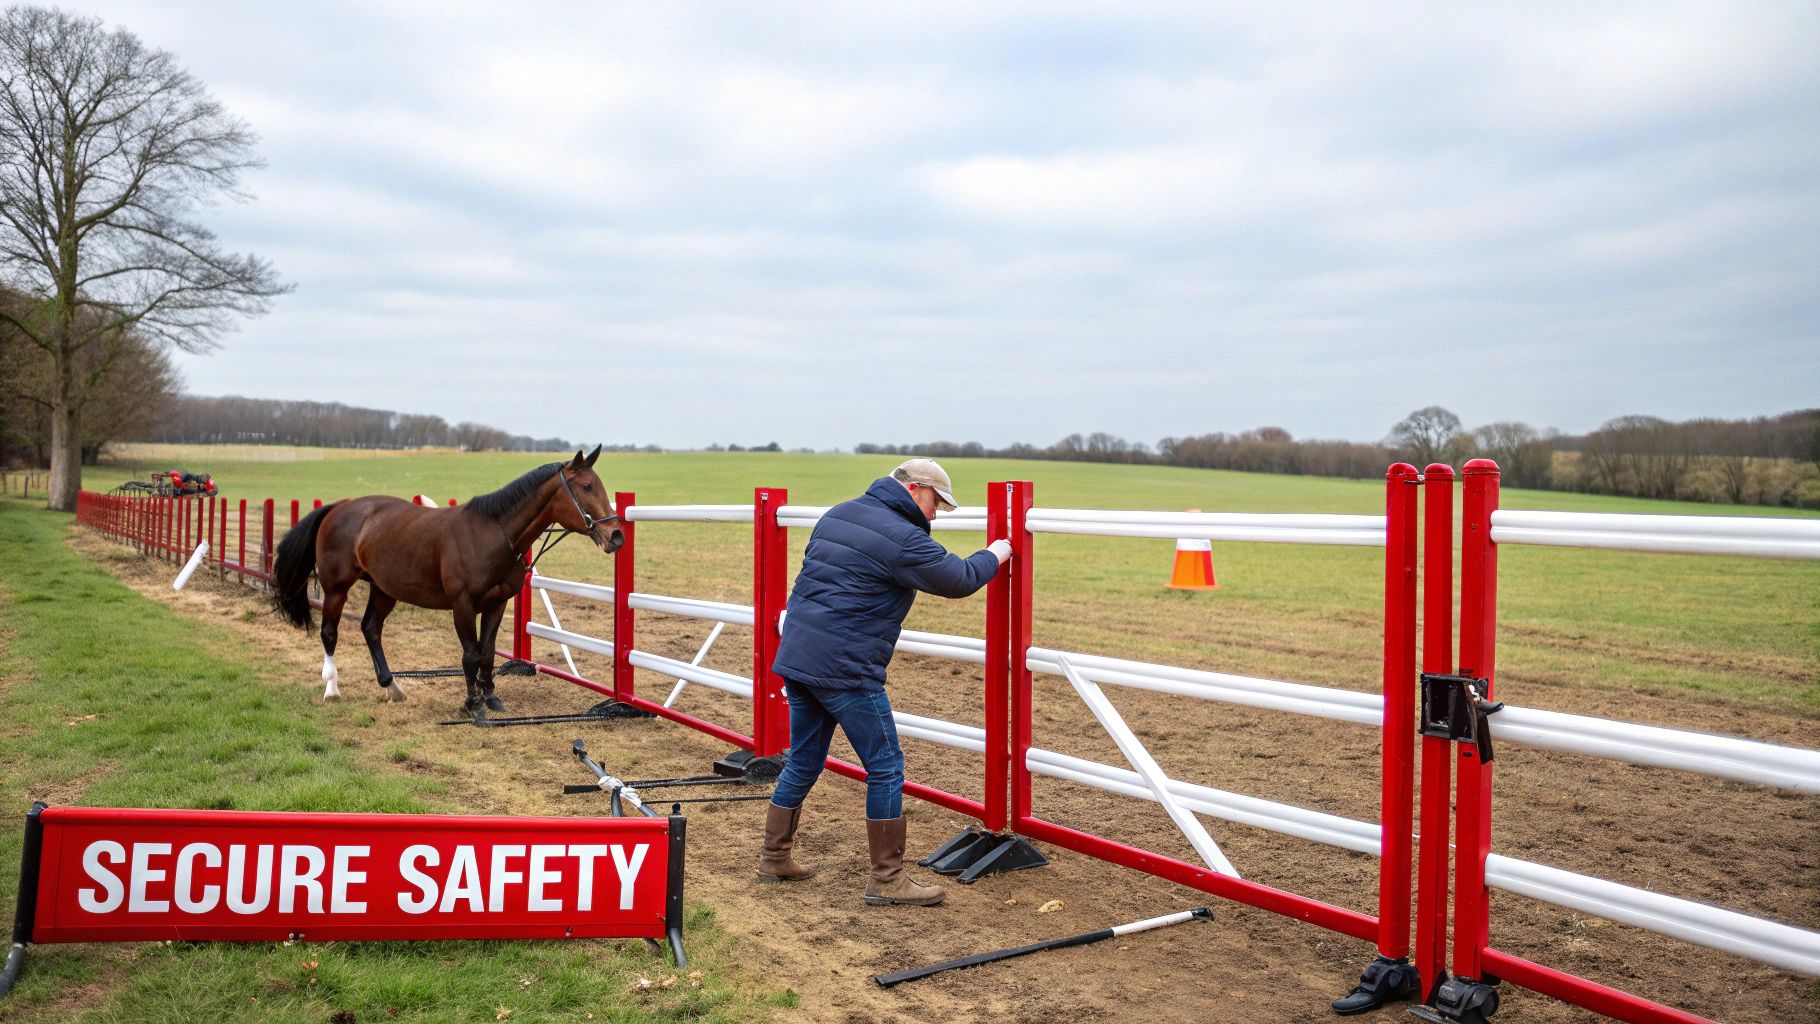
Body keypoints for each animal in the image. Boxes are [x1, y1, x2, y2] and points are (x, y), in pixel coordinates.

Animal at [270, 447, 622, 714]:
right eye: (586, 487)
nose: (616, 536)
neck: (491, 533)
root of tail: (340, 507)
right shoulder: (462, 604)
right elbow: (471, 654)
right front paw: (472, 703)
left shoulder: (497, 603)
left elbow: (488, 651)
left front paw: (490, 696)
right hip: (336, 588)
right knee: (329, 632)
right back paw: (332, 687)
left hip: (383, 589)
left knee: (371, 629)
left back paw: (392, 685)